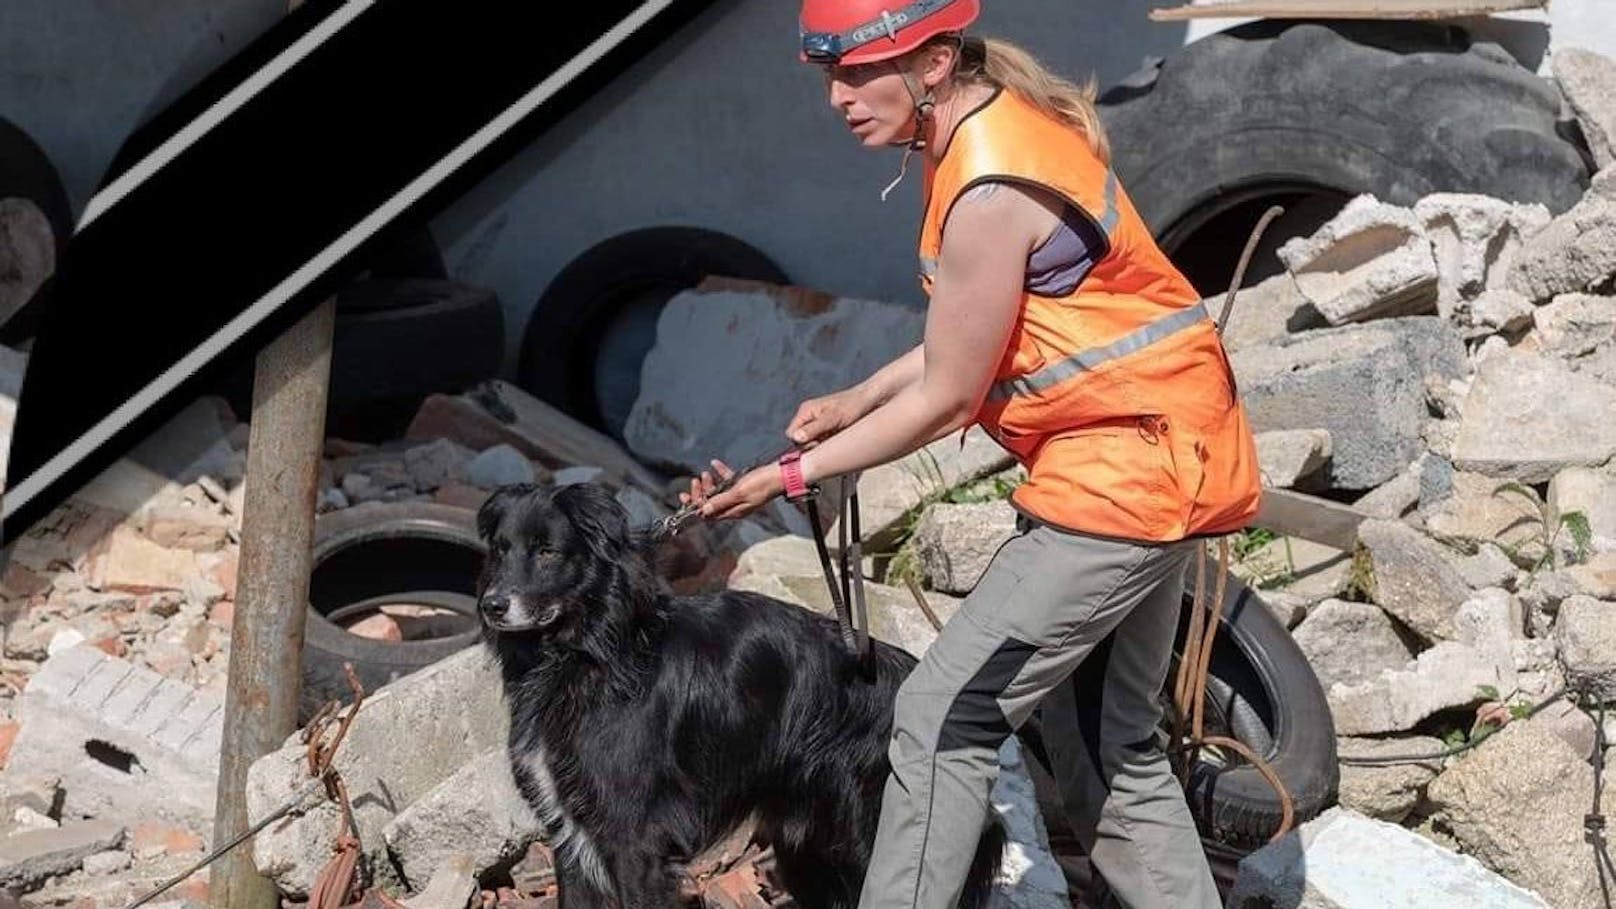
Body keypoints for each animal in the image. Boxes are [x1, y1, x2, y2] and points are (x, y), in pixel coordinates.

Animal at [471, 478, 995, 899]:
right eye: (499, 549)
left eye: (547, 551)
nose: (491, 606)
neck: (590, 653)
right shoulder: (569, 834)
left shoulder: (634, 840)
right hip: (810, 847)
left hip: (871, 835)